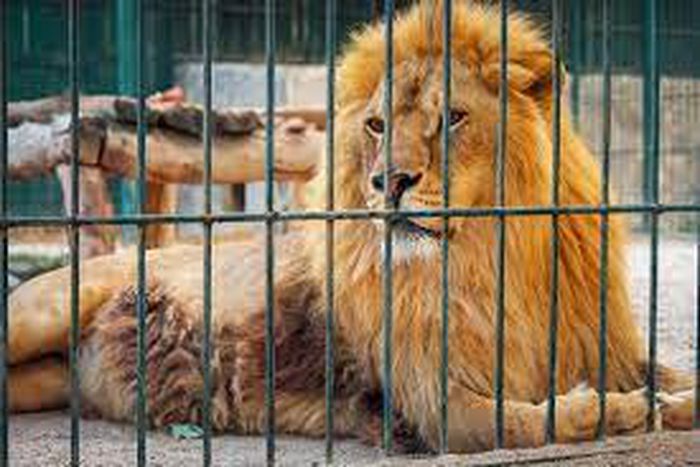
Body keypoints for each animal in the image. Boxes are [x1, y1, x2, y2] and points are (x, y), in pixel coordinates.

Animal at [6, 0, 695, 454]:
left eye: (452, 118)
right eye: (377, 126)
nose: (389, 181)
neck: (486, 258)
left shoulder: (597, 343)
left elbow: (672, 375)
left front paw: (668, 402)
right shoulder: (434, 405)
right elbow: (526, 422)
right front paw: (618, 410)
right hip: (43, 308)